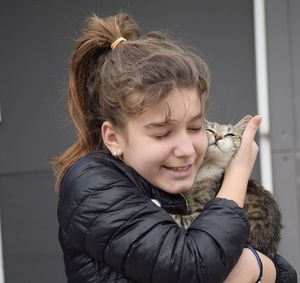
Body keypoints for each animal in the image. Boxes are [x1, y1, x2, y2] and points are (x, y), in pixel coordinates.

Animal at [172, 116, 282, 260]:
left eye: (230, 134)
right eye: (210, 130)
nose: (218, 137)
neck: (207, 167)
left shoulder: (200, 211)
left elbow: (181, 219)